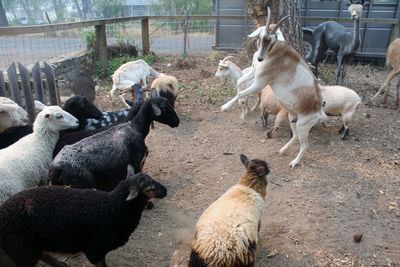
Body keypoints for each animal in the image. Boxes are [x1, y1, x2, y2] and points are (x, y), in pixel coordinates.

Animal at [0, 170, 166, 267]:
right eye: (149, 188)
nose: (165, 191)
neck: (113, 207)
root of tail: (3, 211)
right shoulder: (95, 249)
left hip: (31, 245)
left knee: (43, 254)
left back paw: (61, 265)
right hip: (23, 247)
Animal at [49, 97, 179, 192]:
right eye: (165, 108)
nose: (177, 122)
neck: (136, 128)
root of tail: (55, 169)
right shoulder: (136, 164)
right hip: (85, 184)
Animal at [222, 8, 328, 169]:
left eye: (271, 40)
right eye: (261, 37)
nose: (260, 58)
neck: (275, 53)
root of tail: (318, 111)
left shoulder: (260, 82)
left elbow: (241, 92)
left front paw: (225, 107)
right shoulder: (255, 72)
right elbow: (240, 82)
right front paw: (242, 105)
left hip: (303, 125)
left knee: (305, 144)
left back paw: (294, 162)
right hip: (293, 118)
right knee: (295, 136)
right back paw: (282, 150)